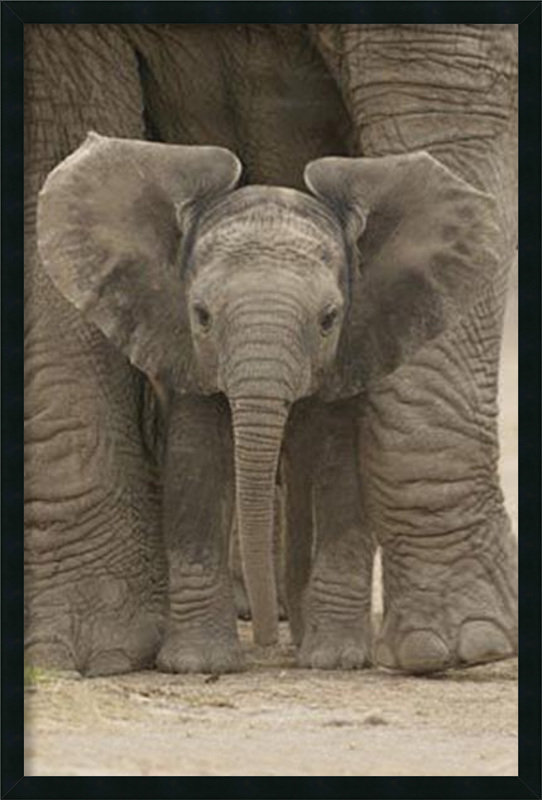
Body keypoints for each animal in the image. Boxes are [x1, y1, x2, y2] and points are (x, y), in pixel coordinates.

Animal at [25, 23, 517, 675]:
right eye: (201, 315)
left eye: (331, 318)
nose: (260, 644)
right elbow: (52, 142)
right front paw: (89, 654)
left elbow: (442, 104)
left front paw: (460, 647)